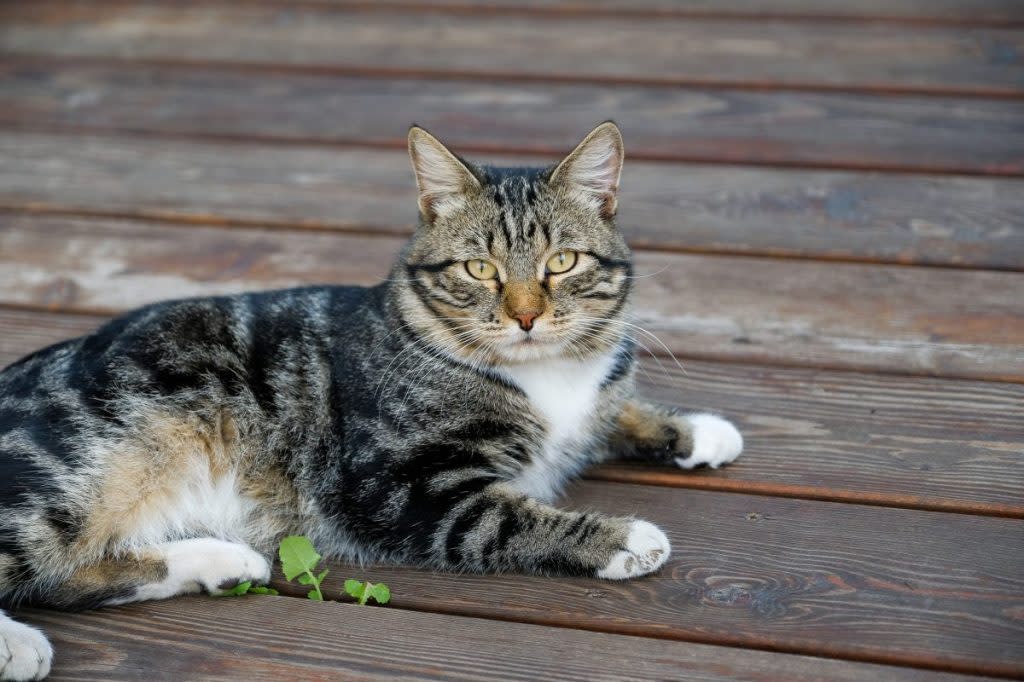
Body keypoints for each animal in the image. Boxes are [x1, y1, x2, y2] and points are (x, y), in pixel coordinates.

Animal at [0, 120, 741, 675]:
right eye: (479, 269)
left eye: (562, 262)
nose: (527, 317)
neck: (543, 372)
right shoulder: (402, 487)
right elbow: (514, 517)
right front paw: (625, 537)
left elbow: (618, 407)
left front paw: (698, 428)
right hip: (69, 476)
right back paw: (19, 644)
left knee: (66, 578)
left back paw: (217, 562)